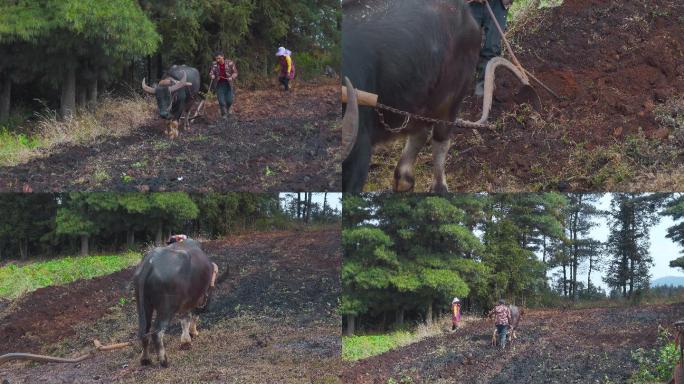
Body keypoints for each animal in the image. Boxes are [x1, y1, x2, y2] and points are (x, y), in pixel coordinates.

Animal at [132, 237, 218, 366]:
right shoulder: (195, 299)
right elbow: (190, 317)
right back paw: (164, 360)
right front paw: (190, 336)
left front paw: (187, 339)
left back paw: (145, 359)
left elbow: (184, 319)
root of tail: (149, 264)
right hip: (166, 309)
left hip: (143, 304)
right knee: (157, 332)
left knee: (144, 330)